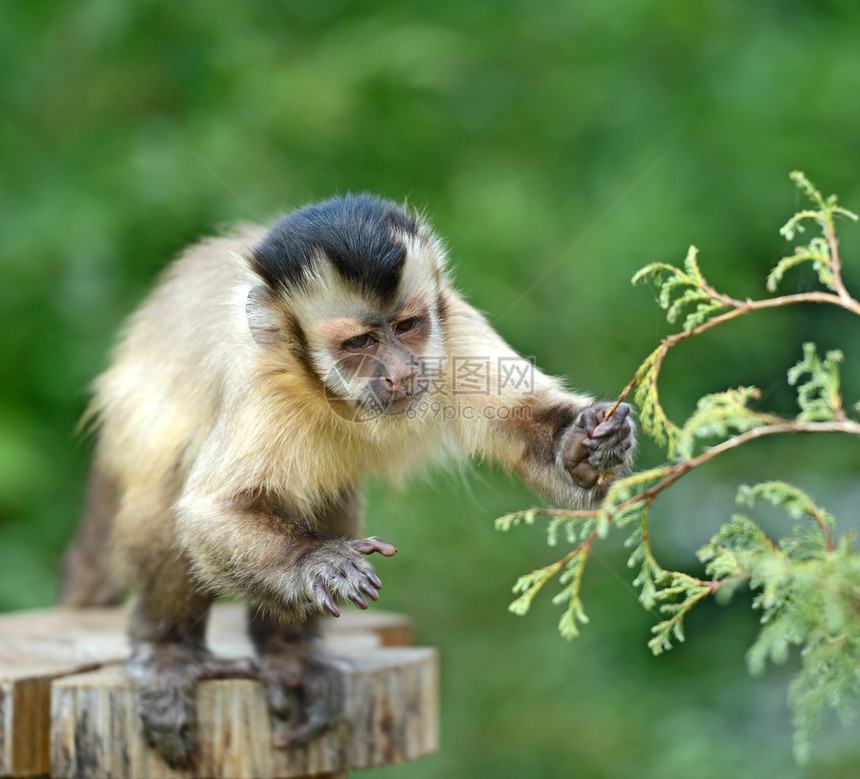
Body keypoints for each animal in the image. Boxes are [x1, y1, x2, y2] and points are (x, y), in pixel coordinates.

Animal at [60, 193, 636, 768]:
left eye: (407, 327)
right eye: (360, 342)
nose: (401, 372)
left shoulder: (456, 331)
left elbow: (526, 426)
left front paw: (585, 446)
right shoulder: (263, 376)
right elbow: (211, 509)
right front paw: (316, 563)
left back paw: (292, 655)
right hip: (136, 426)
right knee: (171, 480)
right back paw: (169, 652)